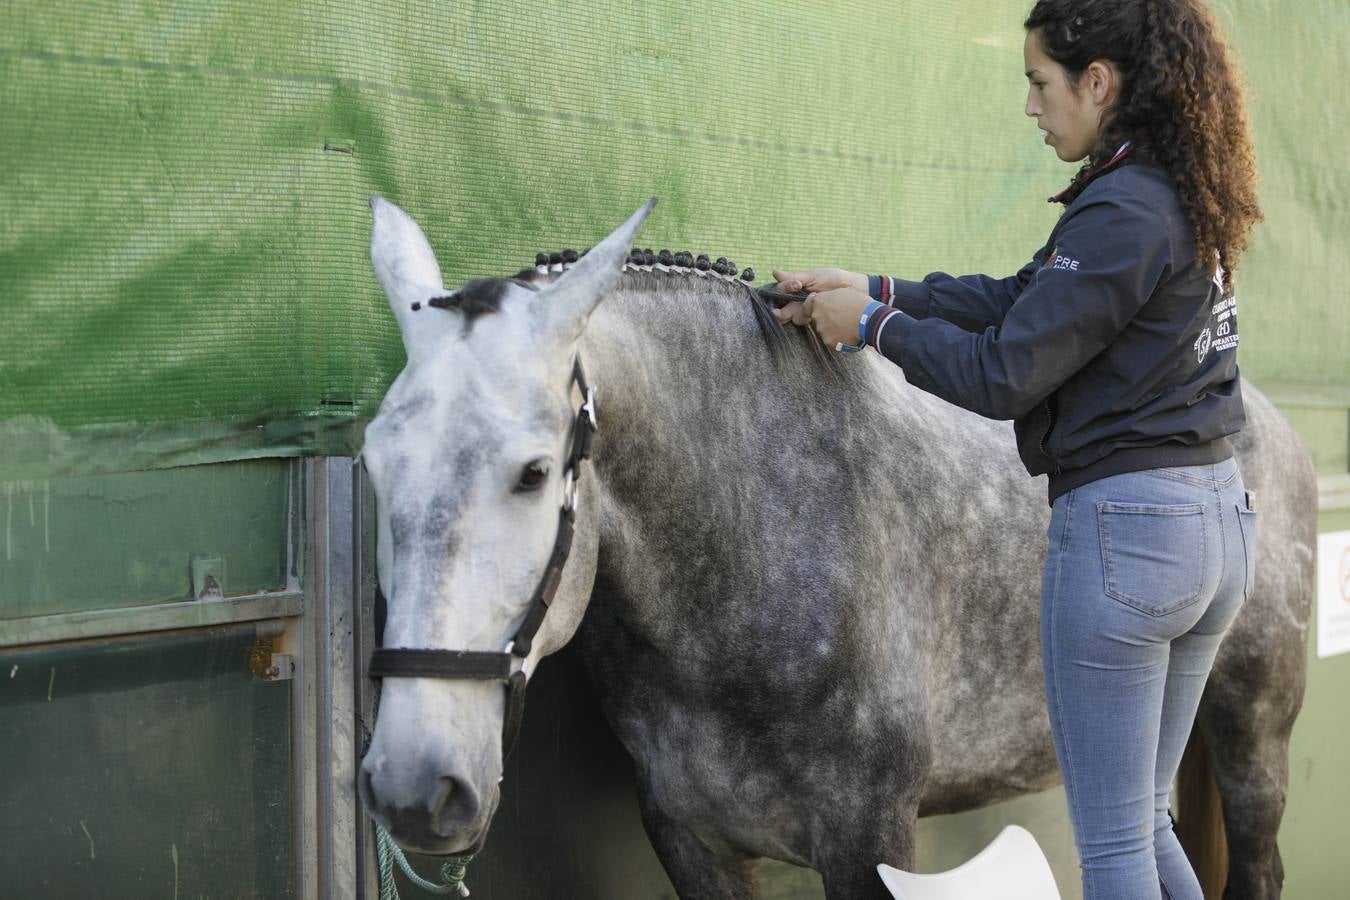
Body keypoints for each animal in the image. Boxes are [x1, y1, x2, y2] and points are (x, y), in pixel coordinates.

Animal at [357, 198, 1315, 899]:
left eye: (531, 473)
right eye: (371, 461)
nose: (415, 787)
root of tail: (1258, 421)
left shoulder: (869, 845)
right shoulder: (692, 842)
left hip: (1253, 730)